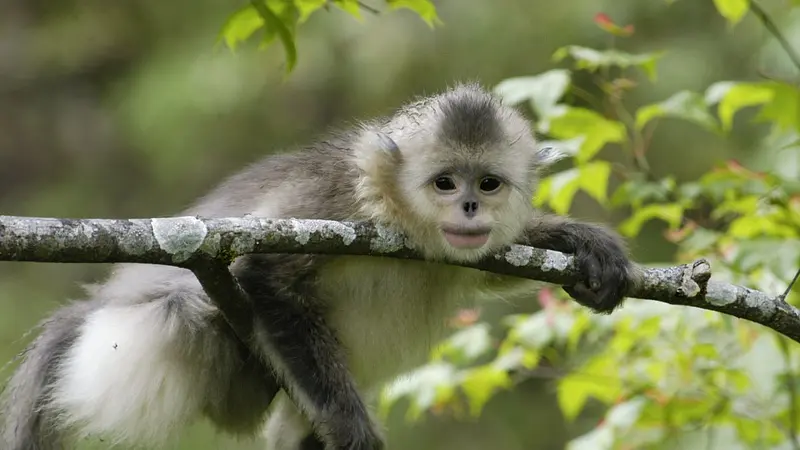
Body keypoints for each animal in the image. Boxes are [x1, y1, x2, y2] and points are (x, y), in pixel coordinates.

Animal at [0, 83, 634, 450]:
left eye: (489, 184)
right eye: (445, 183)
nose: (470, 208)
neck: (394, 212)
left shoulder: (463, 249)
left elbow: (485, 263)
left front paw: (583, 240)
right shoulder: (331, 204)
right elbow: (262, 274)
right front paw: (352, 427)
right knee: (189, 309)